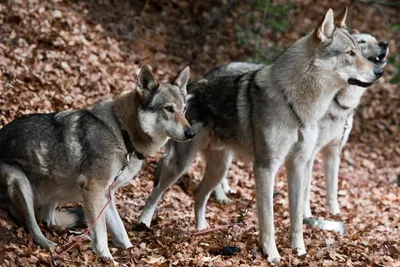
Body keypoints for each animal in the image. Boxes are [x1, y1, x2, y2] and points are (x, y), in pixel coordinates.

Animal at [0, 66, 194, 260]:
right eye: (169, 109)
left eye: (184, 109)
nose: (191, 133)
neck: (122, 132)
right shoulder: (93, 188)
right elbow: (100, 231)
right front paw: (106, 257)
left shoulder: (106, 194)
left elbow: (121, 231)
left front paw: (129, 252)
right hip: (18, 178)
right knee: (32, 225)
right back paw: (51, 245)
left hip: (57, 188)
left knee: (47, 219)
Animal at [139, 8, 382, 264]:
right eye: (350, 53)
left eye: (359, 51)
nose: (379, 72)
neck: (295, 107)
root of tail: (186, 93)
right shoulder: (266, 168)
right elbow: (268, 220)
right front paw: (272, 255)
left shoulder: (299, 166)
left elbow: (297, 219)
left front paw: (300, 252)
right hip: (181, 166)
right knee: (155, 193)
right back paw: (143, 225)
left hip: (219, 169)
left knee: (198, 195)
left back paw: (201, 231)